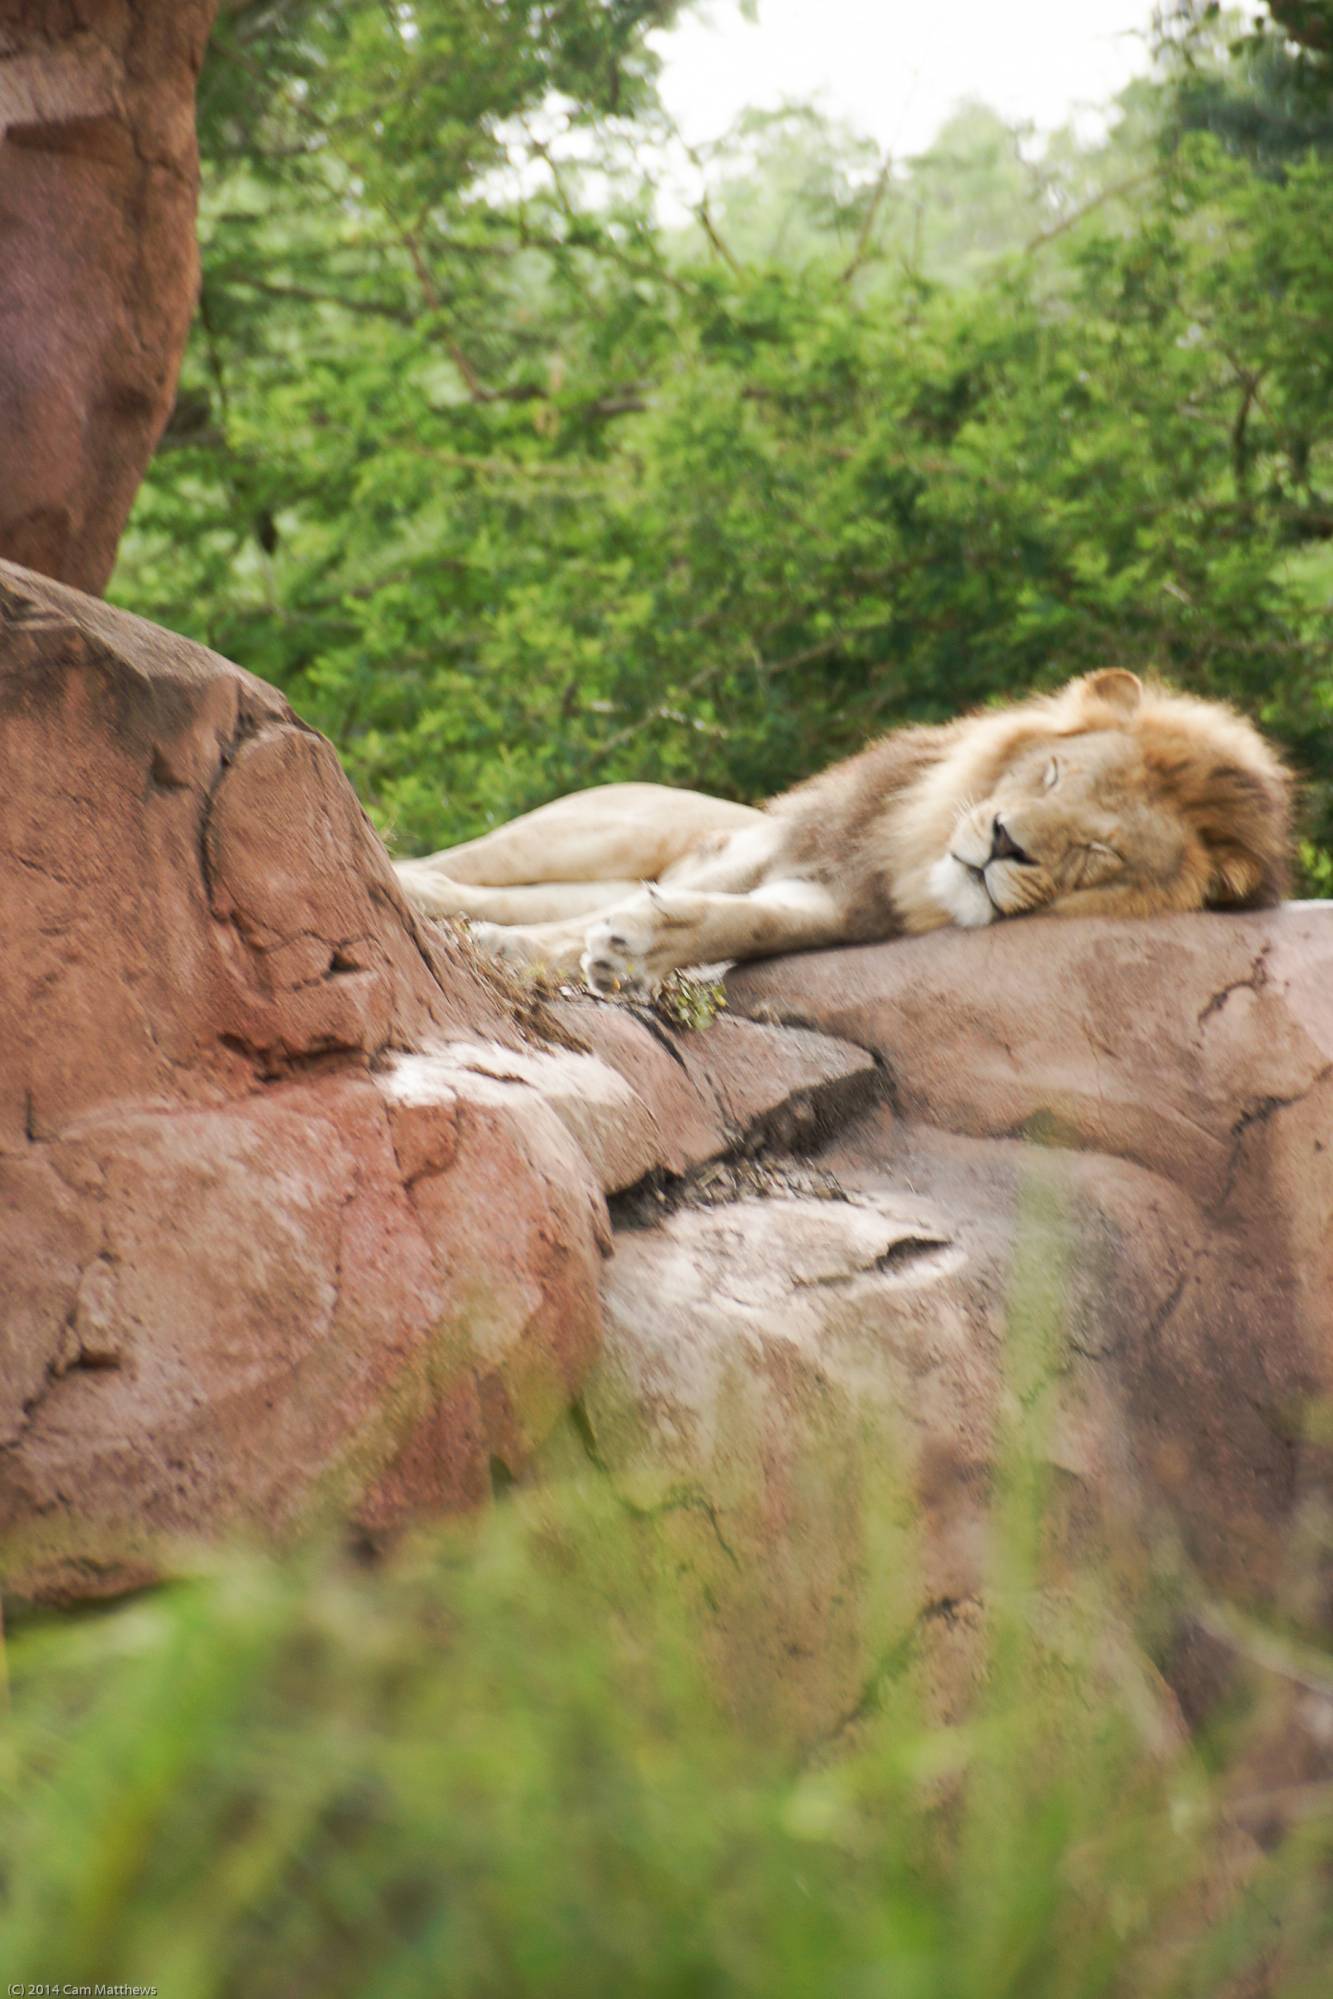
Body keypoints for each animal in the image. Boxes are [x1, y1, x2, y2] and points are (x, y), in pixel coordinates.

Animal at [393, 671, 1295, 999]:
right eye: (1051, 776)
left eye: (1097, 853)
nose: (1004, 843)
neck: (915, 853)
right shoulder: (774, 843)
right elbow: (567, 925)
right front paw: (519, 952)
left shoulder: (834, 904)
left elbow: (746, 921)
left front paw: (640, 946)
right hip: (595, 828)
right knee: (458, 866)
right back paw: (411, 887)